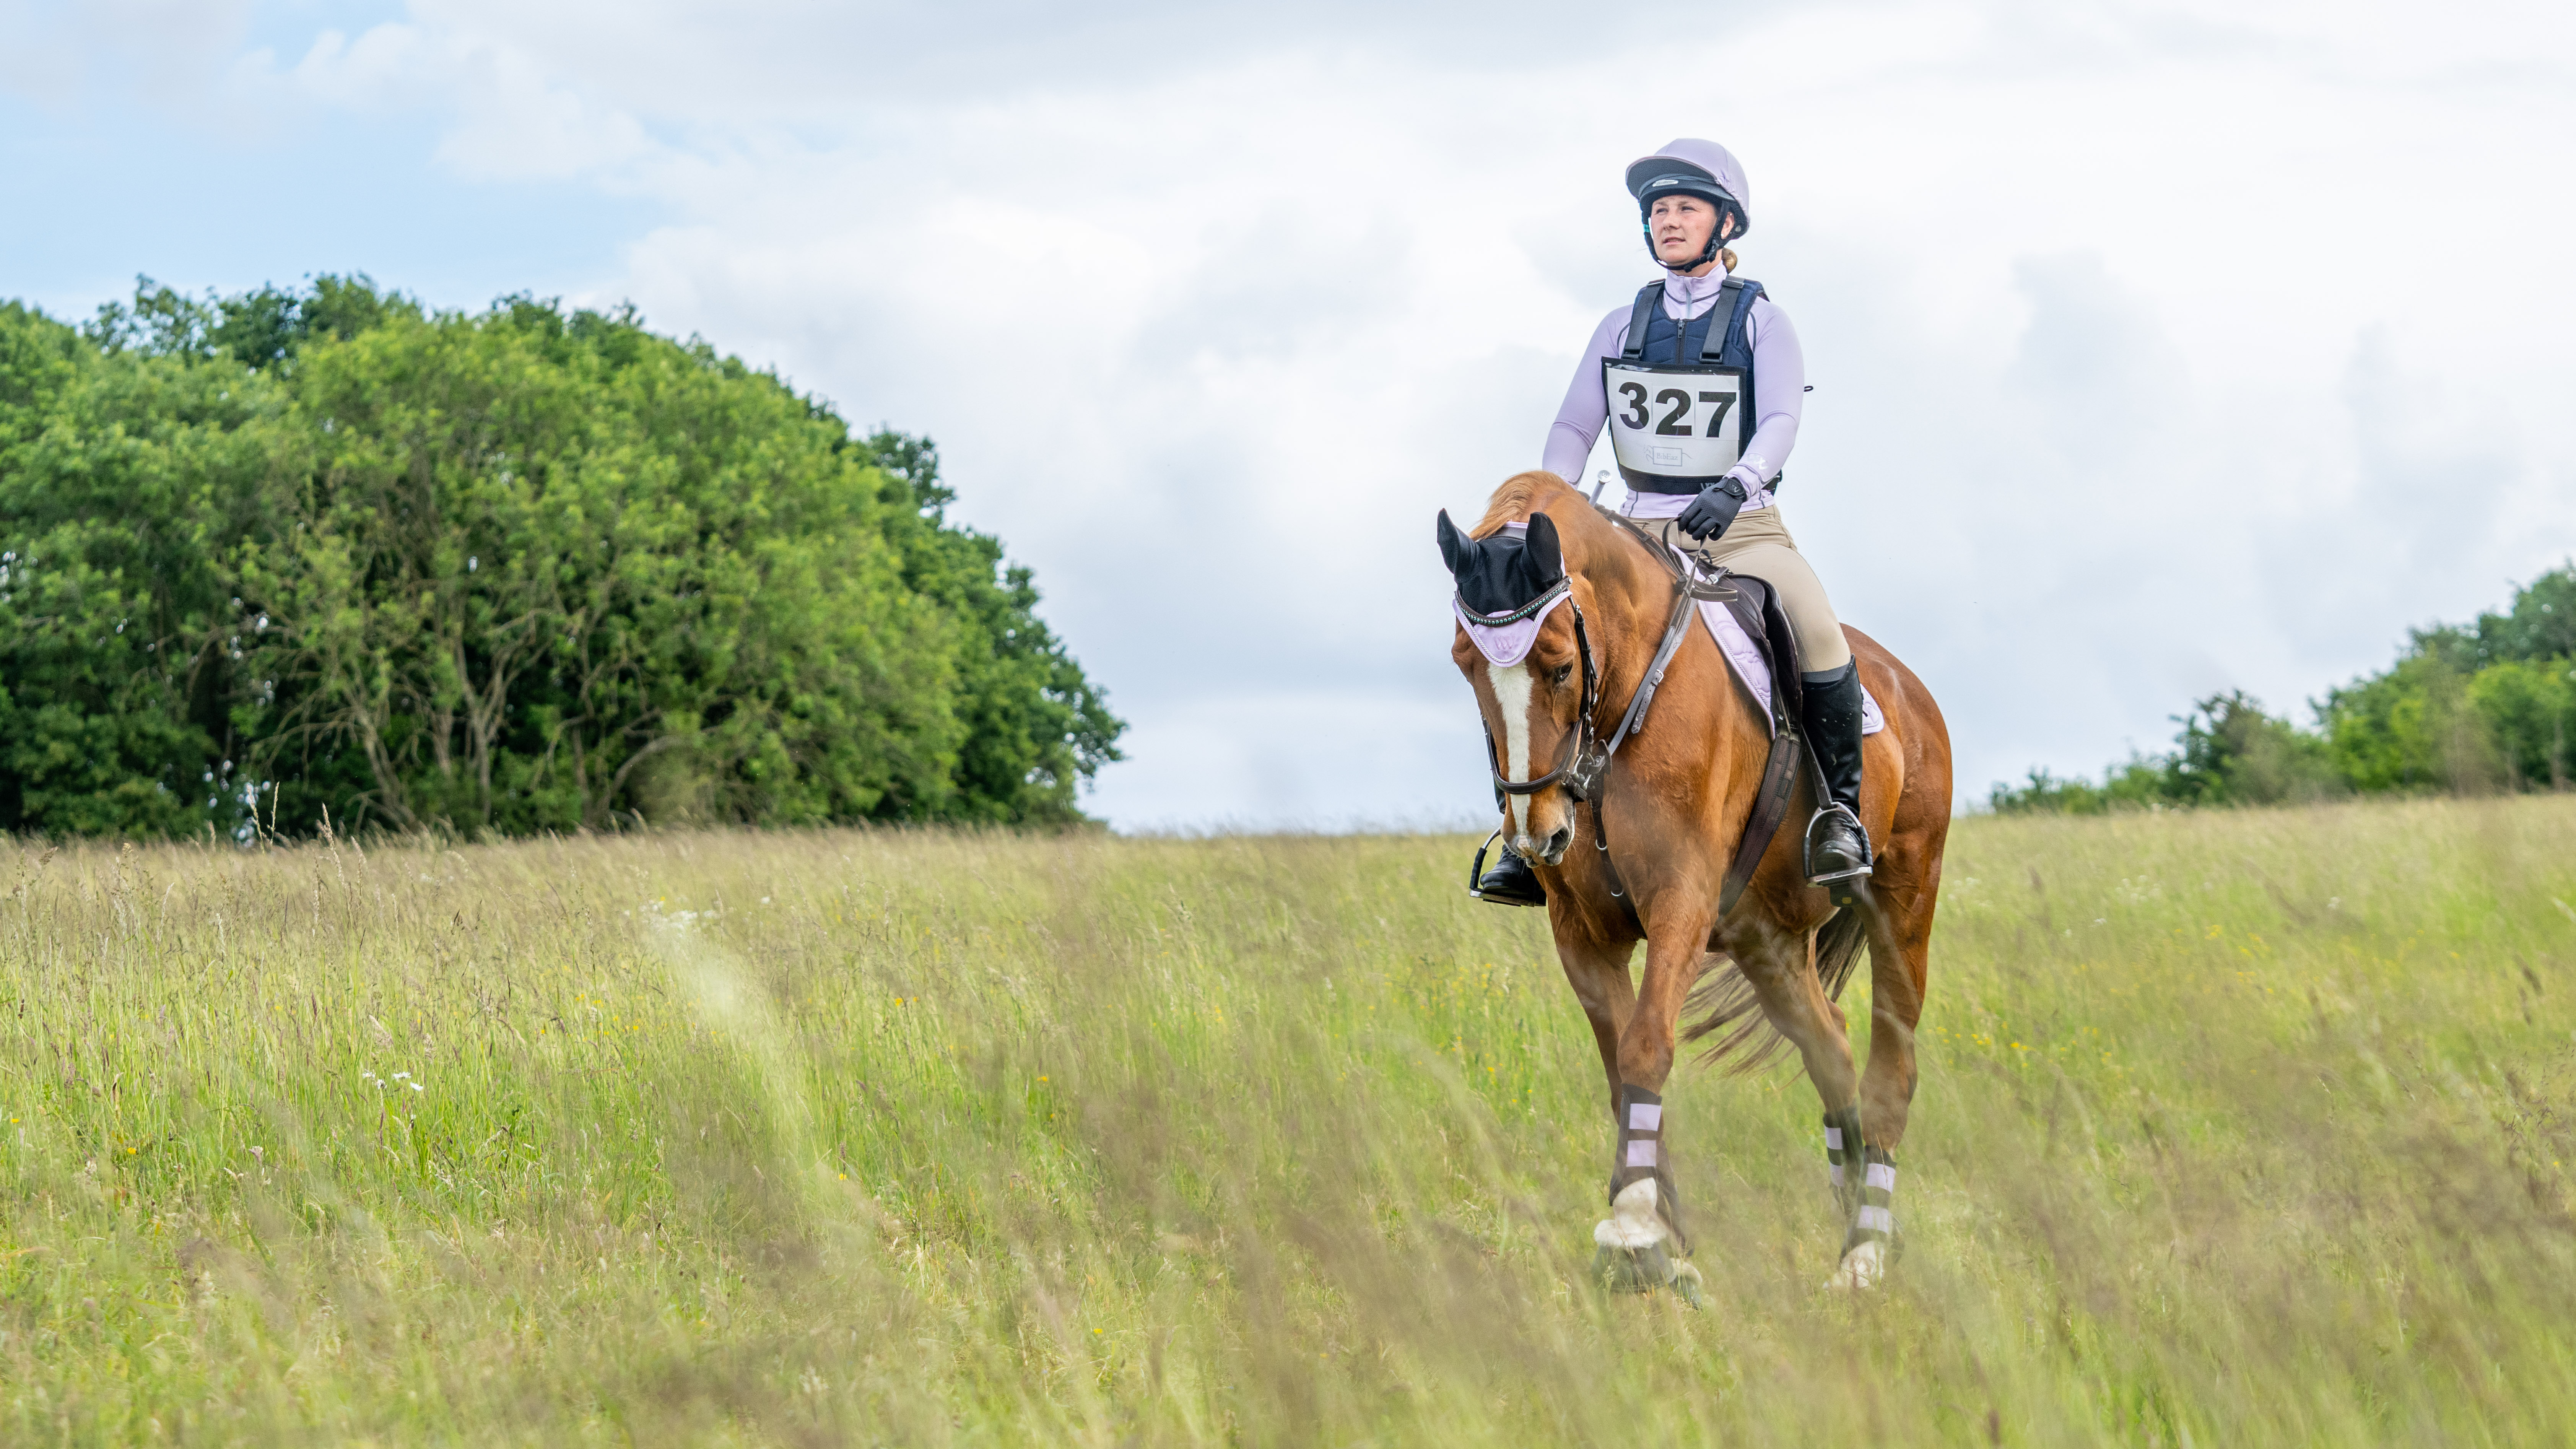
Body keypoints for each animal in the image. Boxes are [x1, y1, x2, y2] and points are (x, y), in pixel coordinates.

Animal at [1453, 469, 1947, 1289]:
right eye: (1465, 664)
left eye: (1559, 664)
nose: (1537, 835)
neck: (1620, 709)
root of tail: (1909, 688)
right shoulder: (1582, 931)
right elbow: (1618, 1066)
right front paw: (1659, 1229)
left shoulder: (1680, 904)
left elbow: (1647, 1043)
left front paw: (1631, 1232)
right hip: (1767, 940)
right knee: (1830, 1046)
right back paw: (1852, 1207)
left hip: (1903, 902)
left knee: (1893, 1065)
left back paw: (1866, 1249)